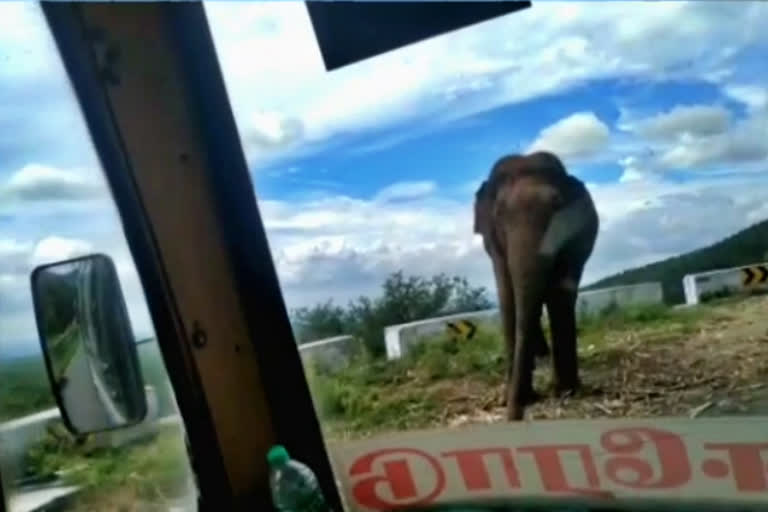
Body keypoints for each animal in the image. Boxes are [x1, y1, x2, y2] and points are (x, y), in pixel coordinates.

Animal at [474, 151, 600, 420]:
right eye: (499, 214)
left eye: (557, 206)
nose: (514, 414)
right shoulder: (494, 245)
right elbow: (507, 293)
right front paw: (517, 396)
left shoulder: (576, 240)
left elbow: (560, 294)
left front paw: (565, 392)